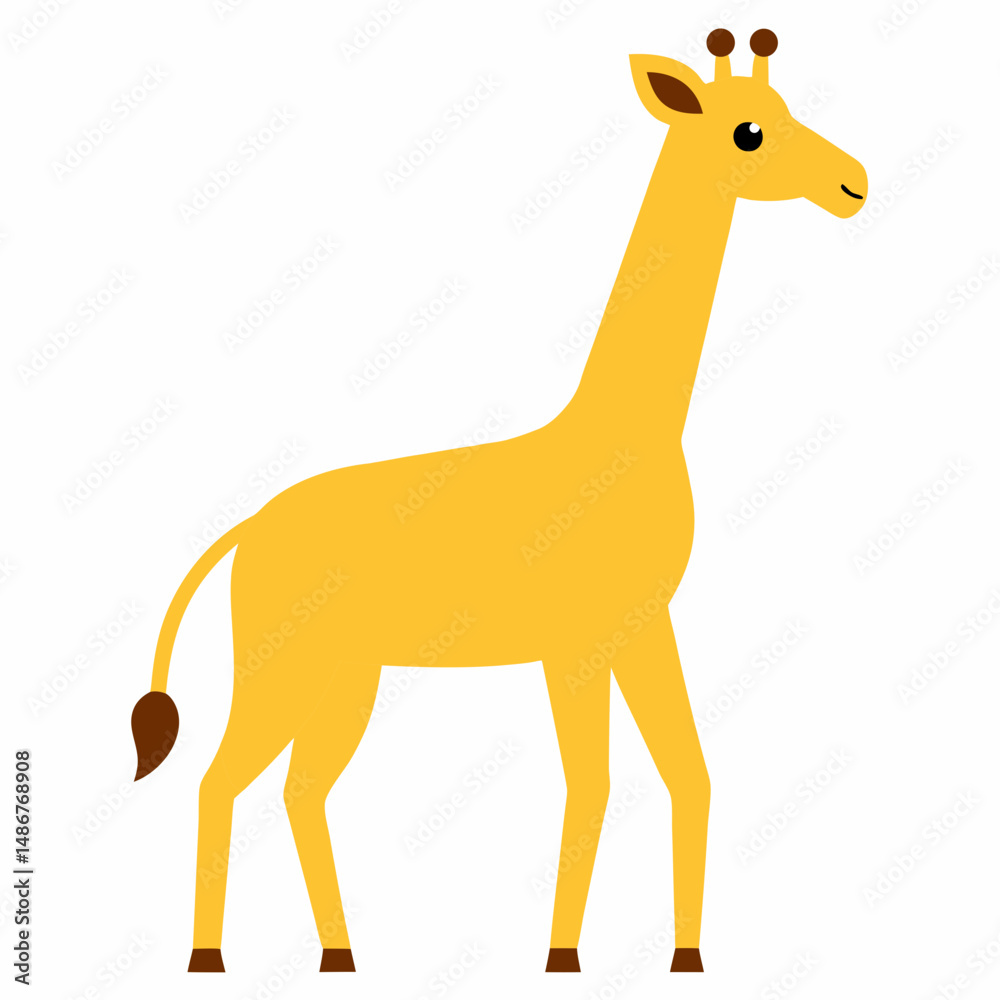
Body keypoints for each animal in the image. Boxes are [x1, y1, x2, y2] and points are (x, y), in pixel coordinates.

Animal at [131, 28, 866, 975]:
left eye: (784, 107)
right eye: (749, 132)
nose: (854, 184)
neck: (627, 439)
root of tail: (245, 530)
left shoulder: (644, 626)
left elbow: (689, 771)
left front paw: (685, 958)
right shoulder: (576, 643)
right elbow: (593, 783)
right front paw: (562, 959)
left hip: (346, 672)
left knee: (299, 787)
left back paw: (341, 956)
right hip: (278, 663)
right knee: (220, 778)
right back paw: (208, 959)